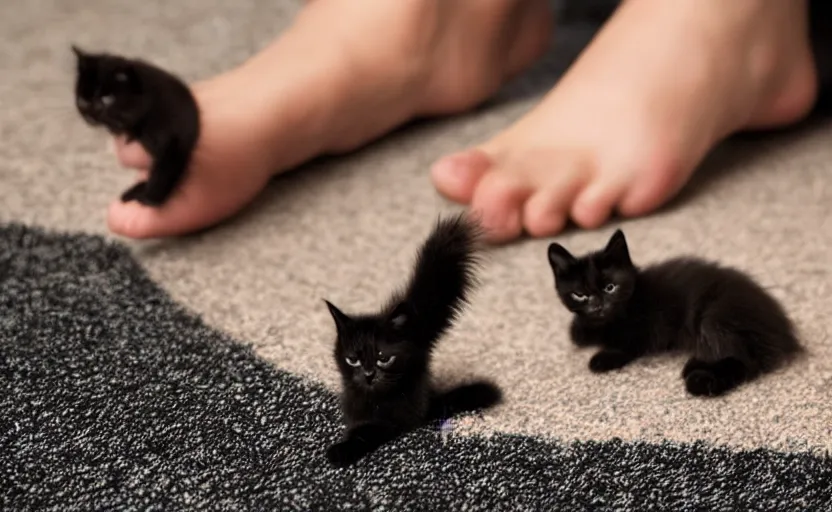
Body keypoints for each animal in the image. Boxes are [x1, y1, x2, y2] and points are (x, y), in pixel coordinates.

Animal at [70, 45, 199, 206]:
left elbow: (164, 171)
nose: (90, 116)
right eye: (83, 100)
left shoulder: (174, 139)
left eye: (107, 100)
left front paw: (148, 198)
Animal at [324, 215, 500, 468]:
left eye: (383, 358)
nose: (368, 375)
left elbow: (367, 432)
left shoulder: (396, 417)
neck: (372, 400)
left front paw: (341, 450)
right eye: (353, 360)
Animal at [548, 230, 804, 398]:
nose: (598, 305)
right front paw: (581, 328)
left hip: (715, 317)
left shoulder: (649, 328)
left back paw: (700, 378)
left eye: (610, 287)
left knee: (746, 362)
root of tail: (779, 327)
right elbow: (577, 331)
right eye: (580, 294)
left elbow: (628, 345)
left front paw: (603, 357)